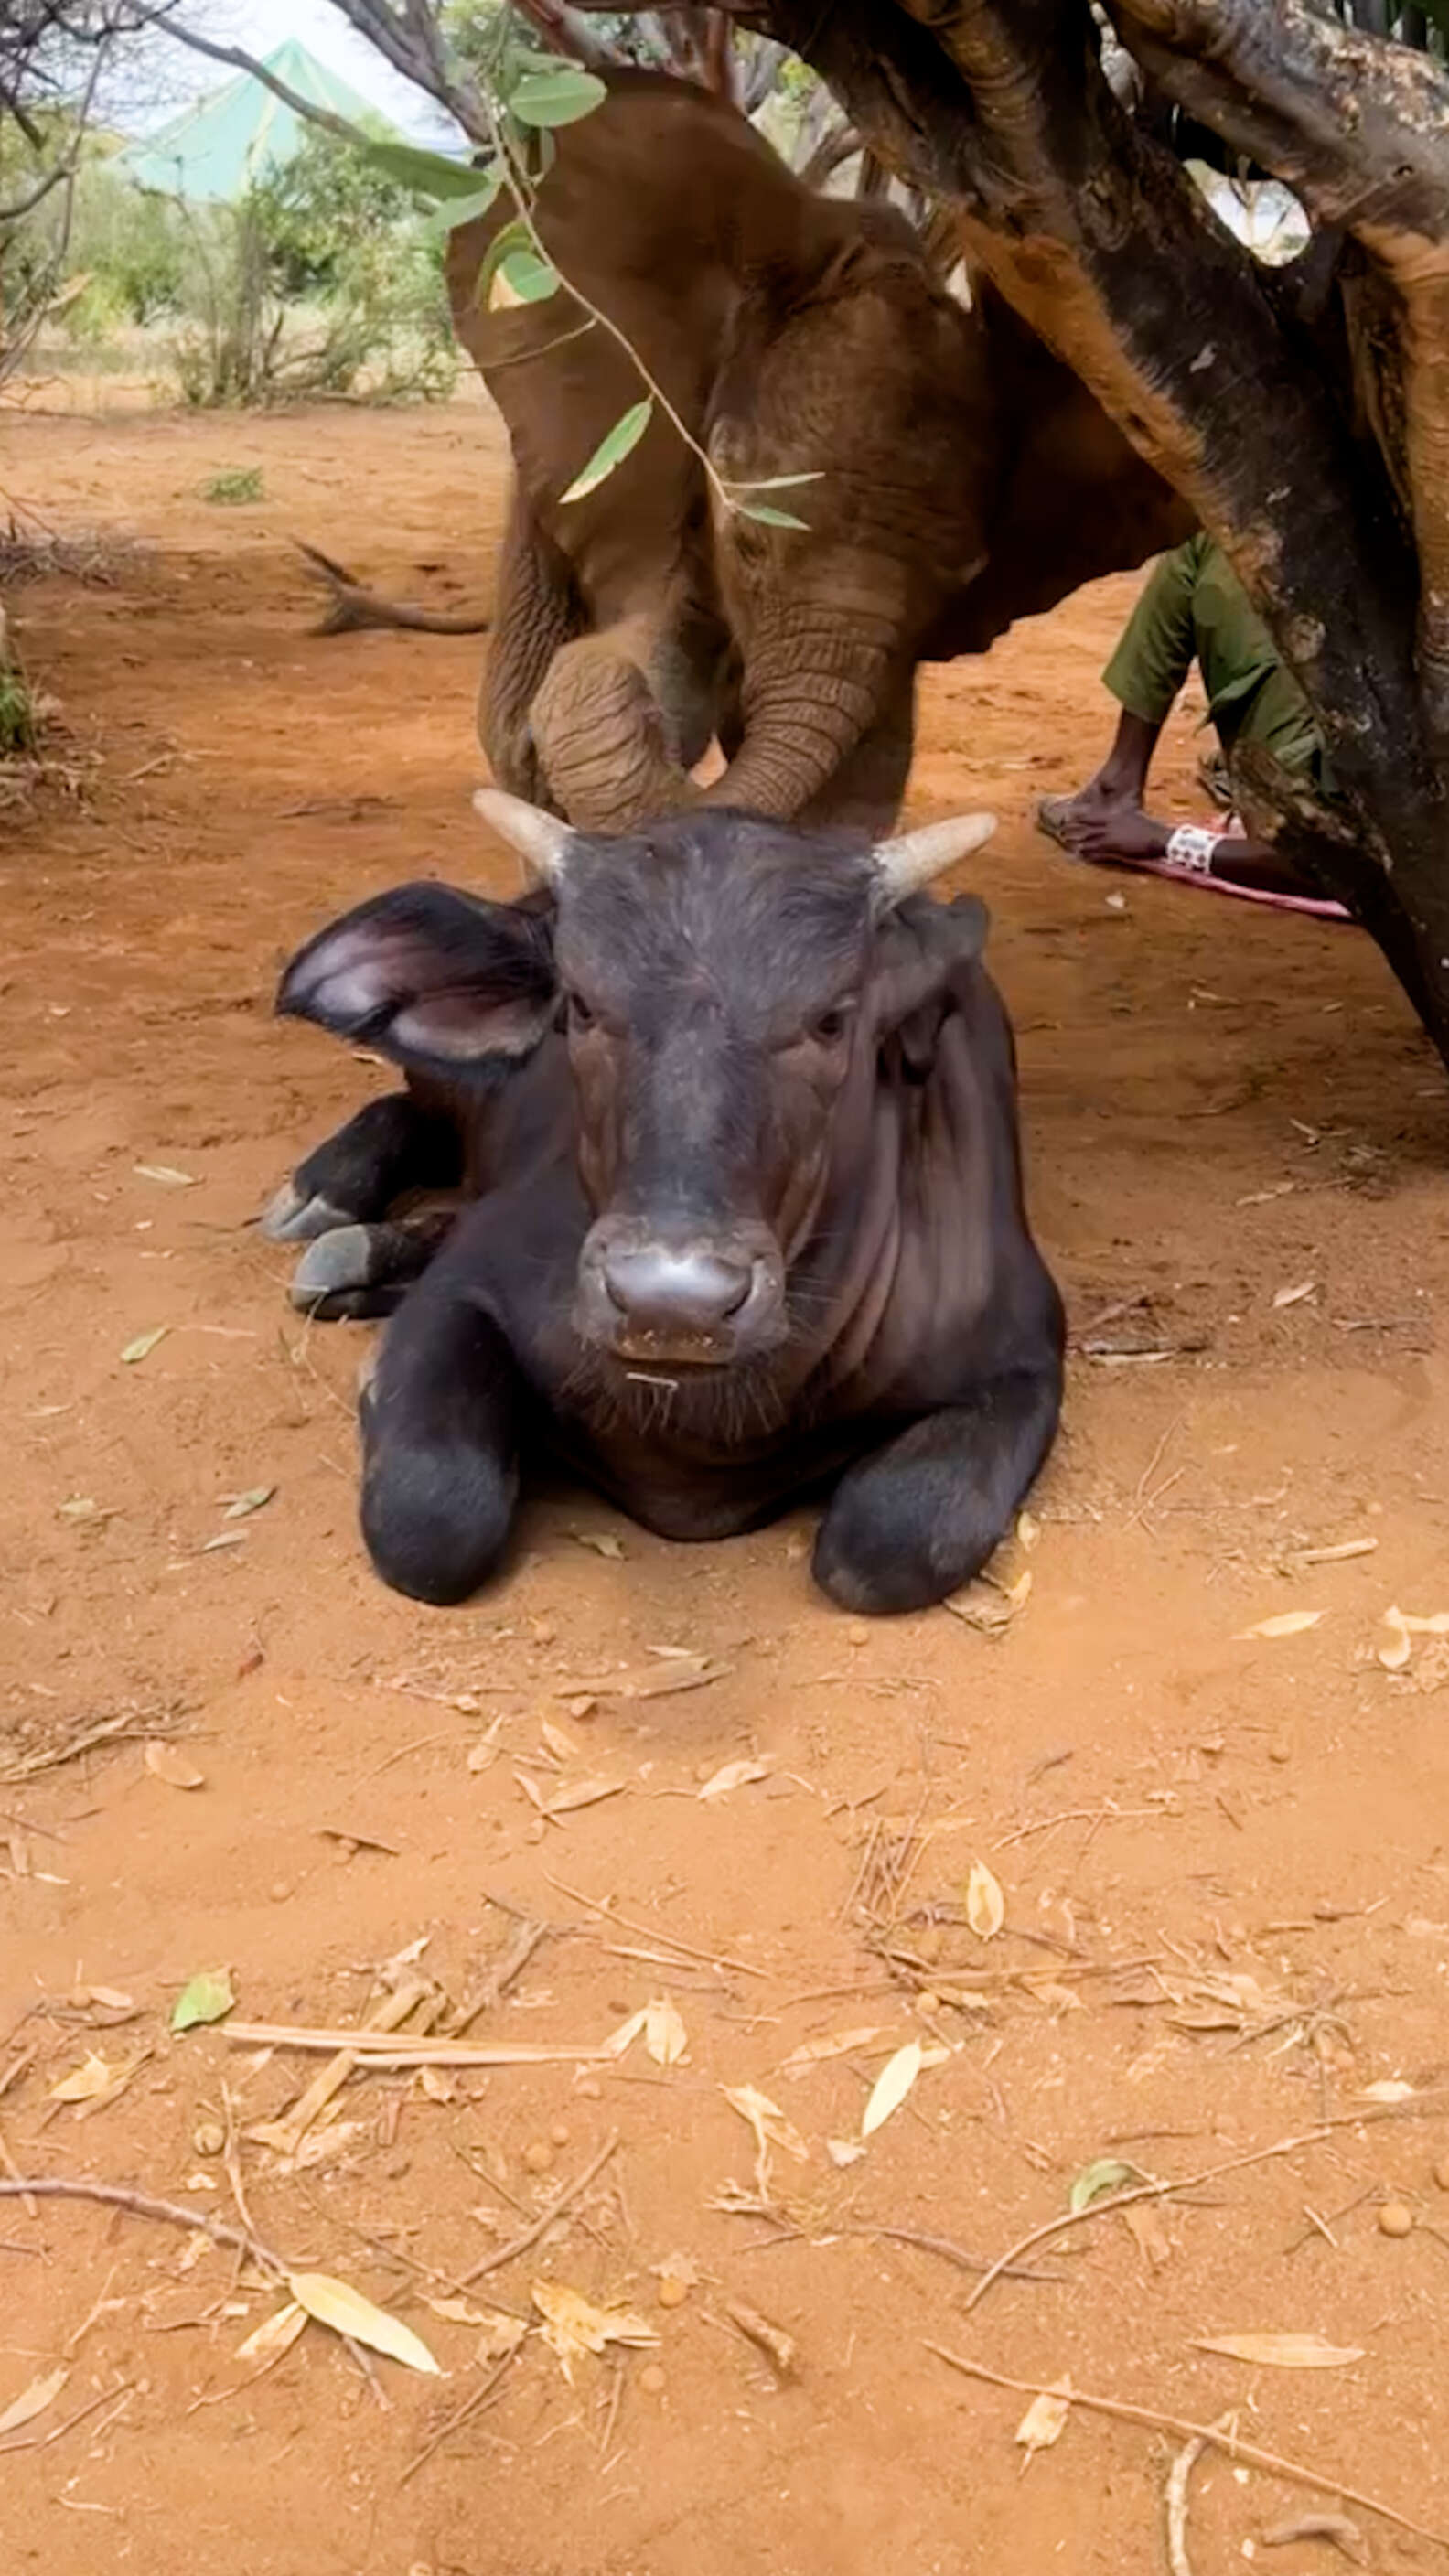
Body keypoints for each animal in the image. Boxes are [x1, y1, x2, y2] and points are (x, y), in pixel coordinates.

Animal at [267, 793, 1064, 1616]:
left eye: (833, 1018)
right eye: (581, 1005)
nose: (671, 1303)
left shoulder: (1024, 1361)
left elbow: (885, 1546)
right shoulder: (466, 1287)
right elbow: (428, 1518)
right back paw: (331, 1197)